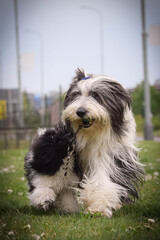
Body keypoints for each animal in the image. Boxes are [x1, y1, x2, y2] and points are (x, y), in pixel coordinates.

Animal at [24, 68, 144, 217]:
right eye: (76, 94)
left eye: (95, 95)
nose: (80, 111)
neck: (91, 134)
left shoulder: (107, 153)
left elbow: (101, 178)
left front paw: (98, 207)